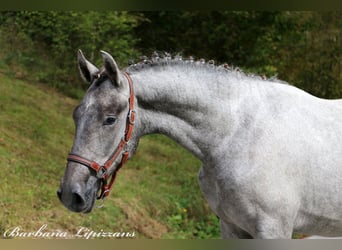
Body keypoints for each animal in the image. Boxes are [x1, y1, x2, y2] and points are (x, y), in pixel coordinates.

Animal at [57, 50, 340, 238]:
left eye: (110, 119)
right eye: (76, 115)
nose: (71, 194)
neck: (236, 133)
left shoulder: (273, 230)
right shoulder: (231, 226)